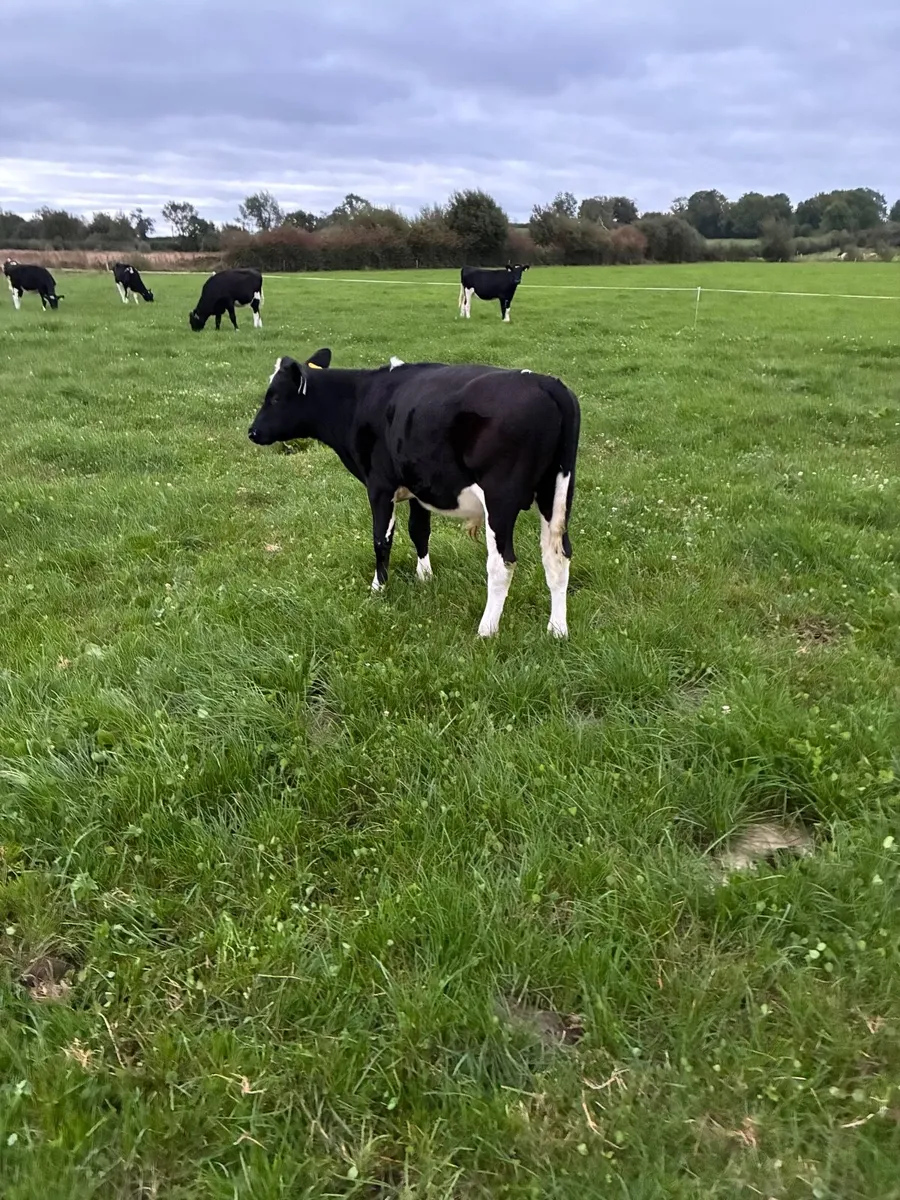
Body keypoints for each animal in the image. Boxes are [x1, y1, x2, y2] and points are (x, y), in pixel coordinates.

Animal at [247, 348, 580, 639]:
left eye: (274, 397)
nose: (252, 432)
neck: (359, 400)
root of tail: (547, 383)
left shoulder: (380, 486)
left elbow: (381, 540)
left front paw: (378, 588)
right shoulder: (421, 486)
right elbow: (419, 531)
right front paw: (425, 578)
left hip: (500, 501)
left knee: (503, 563)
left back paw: (486, 630)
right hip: (556, 493)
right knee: (558, 556)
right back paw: (557, 630)